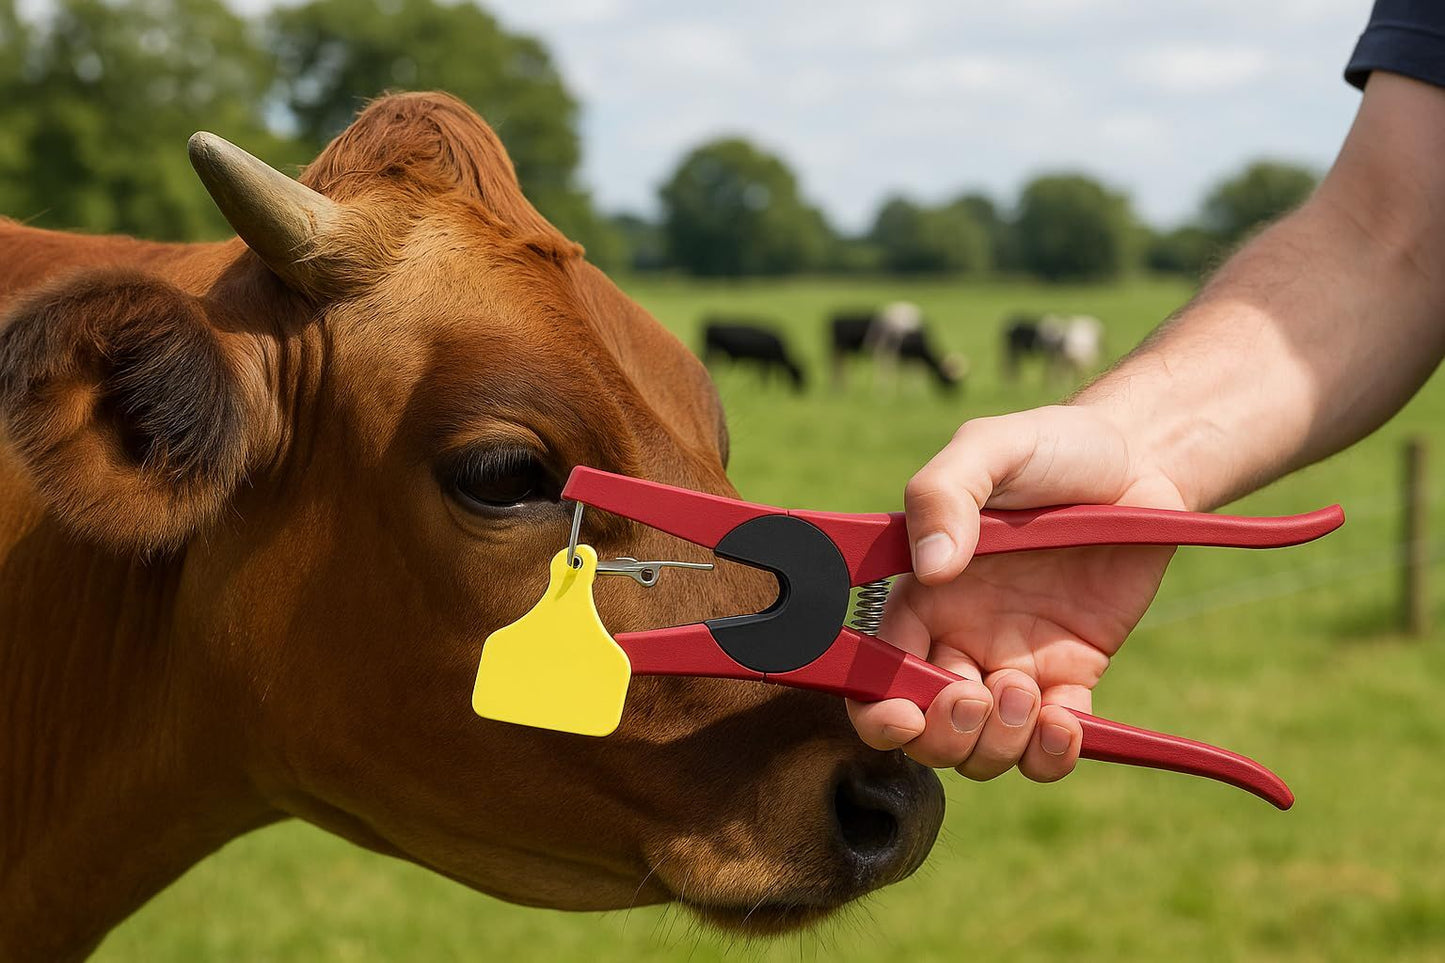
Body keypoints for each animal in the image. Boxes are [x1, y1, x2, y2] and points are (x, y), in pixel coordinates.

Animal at [829, 305, 965, 393]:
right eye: (948, 379)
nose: (957, 396)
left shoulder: (908, 356)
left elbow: (912, 372)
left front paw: (911, 393)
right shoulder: (889, 352)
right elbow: (893, 372)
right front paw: (886, 393)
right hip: (840, 350)